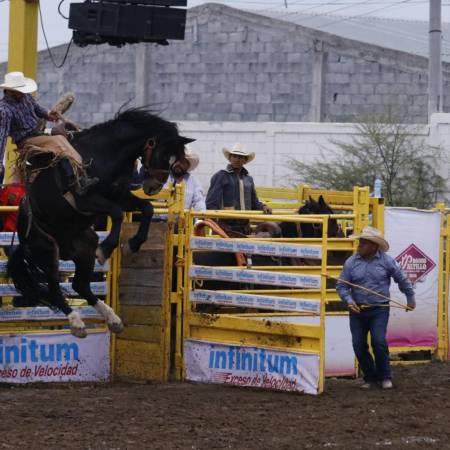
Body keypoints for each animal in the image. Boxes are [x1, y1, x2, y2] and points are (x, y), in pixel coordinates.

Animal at [7, 110, 192, 338]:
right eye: (165, 155)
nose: (154, 187)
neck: (106, 153)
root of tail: (22, 238)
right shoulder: (87, 200)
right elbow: (118, 213)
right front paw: (107, 249)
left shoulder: (120, 195)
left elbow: (147, 208)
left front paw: (132, 245)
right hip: (47, 249)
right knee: (55, 289)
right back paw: (77, 323)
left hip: (85, 248)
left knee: (80, 285)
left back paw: (113, 319)